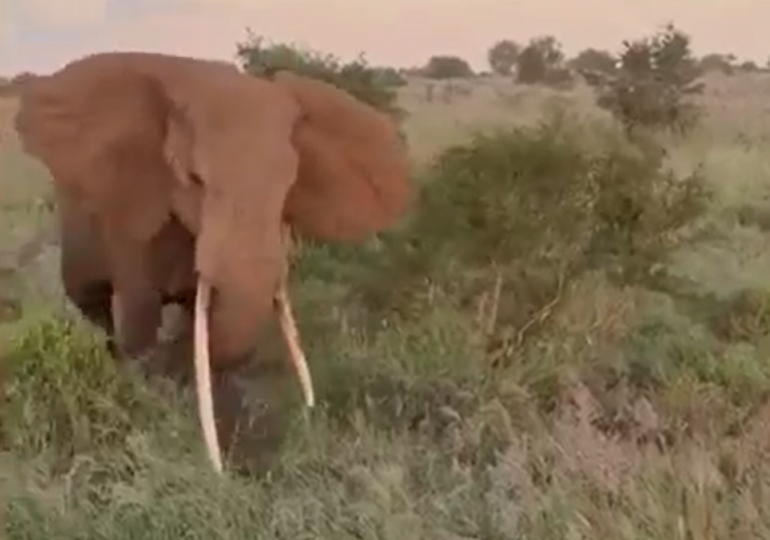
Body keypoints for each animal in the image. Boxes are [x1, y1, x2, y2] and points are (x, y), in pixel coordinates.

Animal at [13, 51, 412, 471]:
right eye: (195, 179)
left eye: (289, 184)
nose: (310, 411)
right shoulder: (130, 213)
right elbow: (140, 314)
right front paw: (151, 390)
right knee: (94, 305)